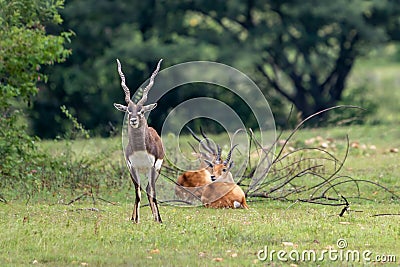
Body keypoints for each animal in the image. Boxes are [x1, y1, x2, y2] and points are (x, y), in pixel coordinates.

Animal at [114, 58, 164, 224]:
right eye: (129, 111)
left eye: (141, 111)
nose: (134, 120)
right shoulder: (132, 167)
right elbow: (137, 194)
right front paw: (135, 220)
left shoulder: (152, 167)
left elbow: (152, 193)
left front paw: (159, 219)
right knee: (142, 190)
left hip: (155, 171)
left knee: (149, 190)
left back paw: (156, 218)